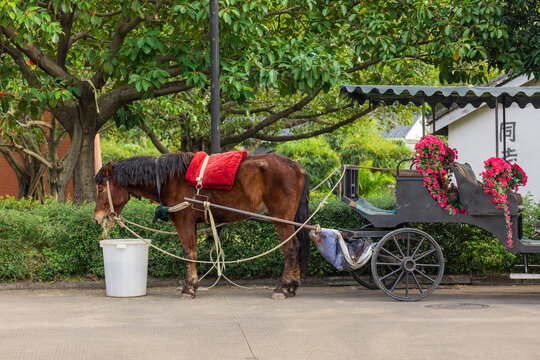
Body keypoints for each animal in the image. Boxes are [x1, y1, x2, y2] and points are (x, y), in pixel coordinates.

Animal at [95, 152, 310, 298]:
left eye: (100, 189)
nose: (97, 218)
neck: (168, 179)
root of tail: (297, 167)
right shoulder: (193, 224)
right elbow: (193, 252)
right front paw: (193, 284)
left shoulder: (184, 221)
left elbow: (188, 253)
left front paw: (189, 288)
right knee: (297, 246)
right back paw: (292, 285)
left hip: (281, 218)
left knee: (291, 248)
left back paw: (283, 287)